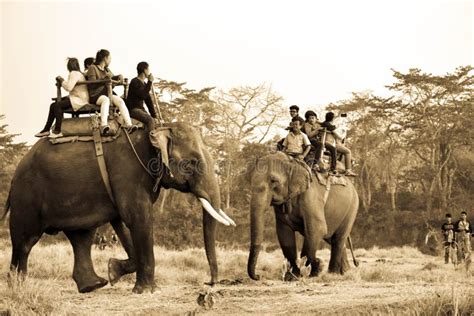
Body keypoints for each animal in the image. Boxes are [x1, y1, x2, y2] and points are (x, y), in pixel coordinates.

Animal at [2, 121, 232, 294]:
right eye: (192, 163)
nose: (210, 284)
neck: (155, 131)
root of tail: (15, 173)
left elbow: (122, 219)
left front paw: (114, 270)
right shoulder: (128, 173)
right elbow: (137, 217)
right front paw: (146, 291)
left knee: (81, 237)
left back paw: (93, 285)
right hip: (27, 195)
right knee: (25, 242)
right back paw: (18, 286)